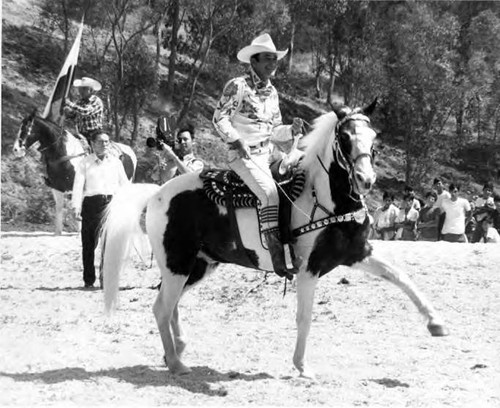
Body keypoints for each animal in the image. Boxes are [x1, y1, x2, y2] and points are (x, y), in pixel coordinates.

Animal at [99, 100, 448, 378]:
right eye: (345, 137)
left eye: (373, 137)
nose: (366, 179)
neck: (323, 197)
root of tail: (157, 194)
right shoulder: (308, 269)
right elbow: (304, 317)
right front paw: (302, 366)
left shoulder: (357, 253)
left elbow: (401, 277)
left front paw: (436, 323)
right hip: (178, 264)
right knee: (161, 307)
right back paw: (175, 363)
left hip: (198, 266)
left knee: (171, 304)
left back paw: (177, 349)